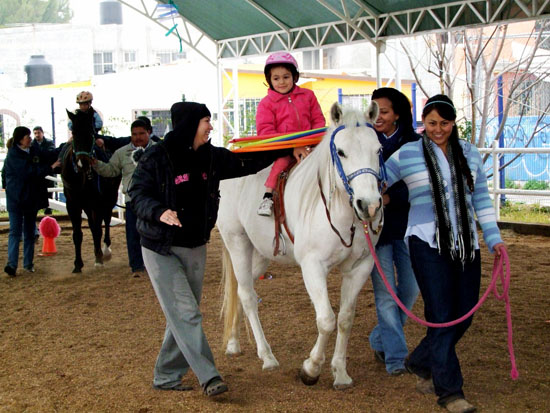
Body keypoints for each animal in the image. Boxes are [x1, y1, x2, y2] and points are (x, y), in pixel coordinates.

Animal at [219, 101, 384, 388]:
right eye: (341, 152)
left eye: (378, 149)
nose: (370, 205)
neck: (340, 214)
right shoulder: (313, 267)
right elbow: (327, 320)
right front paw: (311, 369)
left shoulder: (360, 268)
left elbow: (345, 319)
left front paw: (340, 373)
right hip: (237, 242)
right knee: (248, 296)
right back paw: (267, 357)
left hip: (259, 254)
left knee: (240, 290)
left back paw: (233, 343)